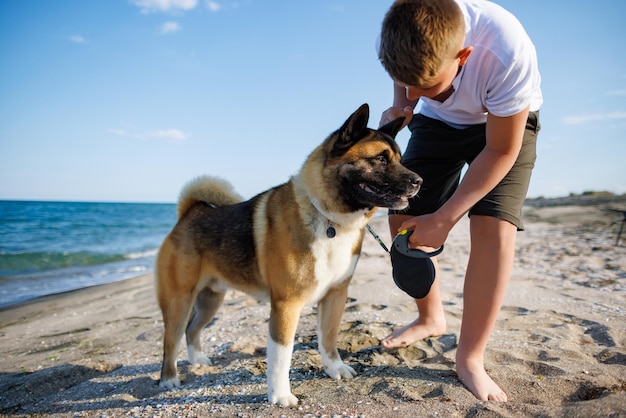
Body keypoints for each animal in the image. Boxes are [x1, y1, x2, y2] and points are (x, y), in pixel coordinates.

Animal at [154, 103, 422, 404]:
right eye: (381, 159)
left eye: (400, 159)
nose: (419, 181)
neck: (329, 220)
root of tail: (189, 213)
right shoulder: (286, 305)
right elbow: (282, 356)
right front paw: (280, 395)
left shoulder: (335, 296)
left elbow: (328, 339)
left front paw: (334, 368)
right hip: (179, 300)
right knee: (171, 340)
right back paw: (169, 379)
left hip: (211, 299)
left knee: (192, 330)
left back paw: (197, 360)